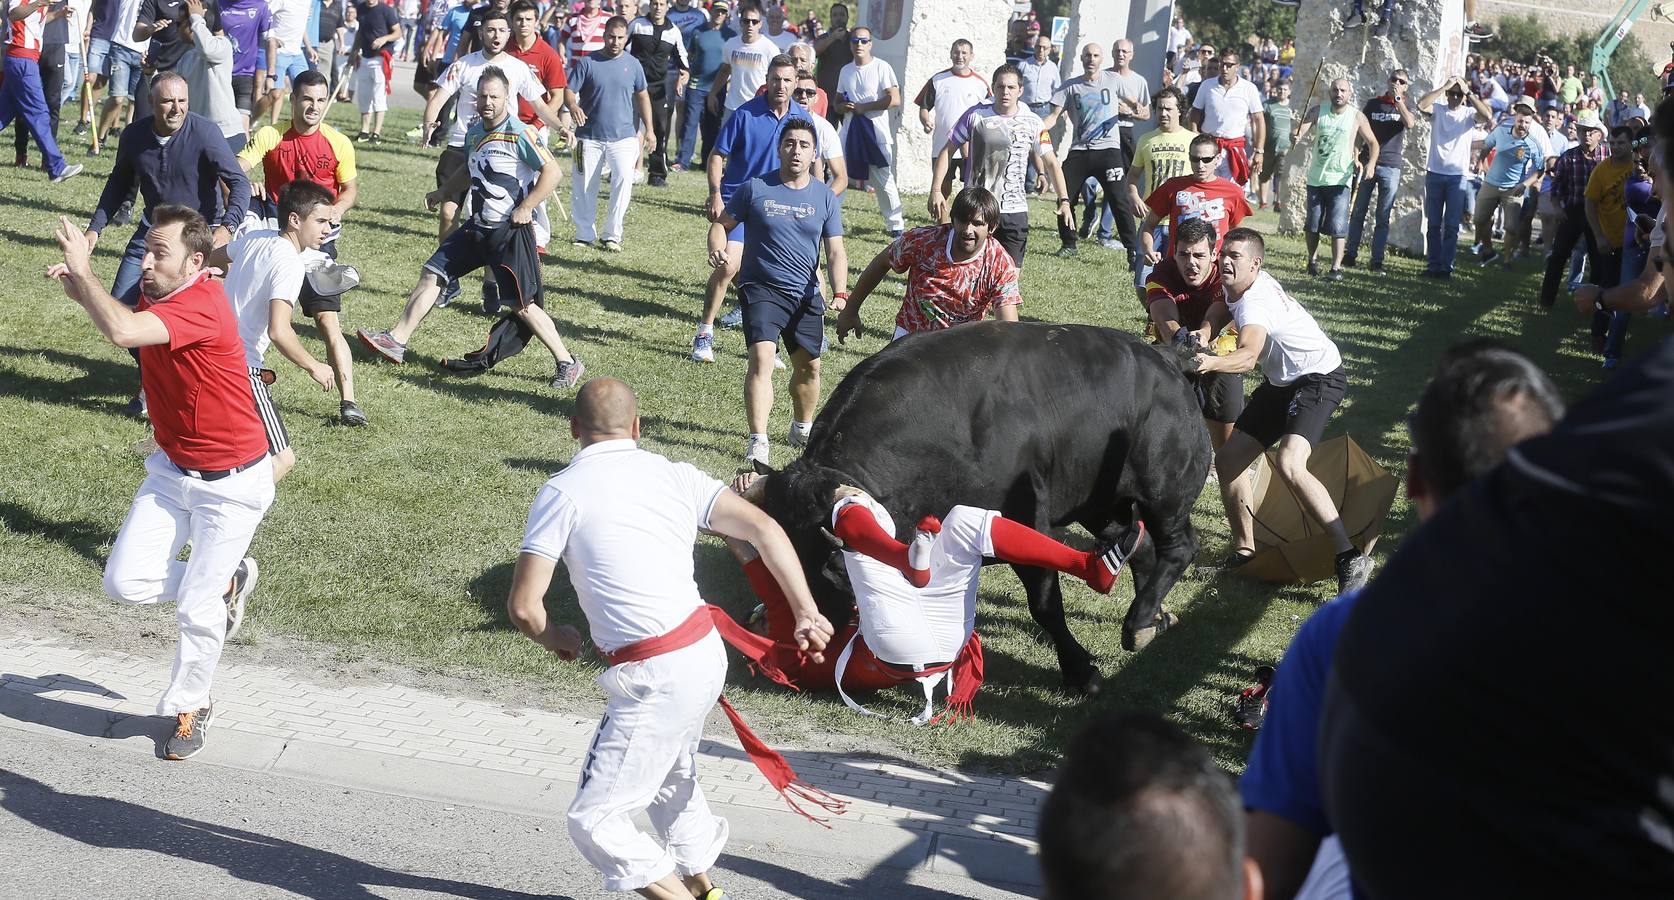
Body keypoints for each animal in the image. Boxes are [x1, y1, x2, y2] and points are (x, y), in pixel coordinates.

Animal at [763, 319, 1218, 689]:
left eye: (830, 573)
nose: (805, 651)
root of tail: (1165, 358)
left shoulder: (1024, 520)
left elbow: (1045, 604)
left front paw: (1080, 672)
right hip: (1101, 504)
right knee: (1140, 545)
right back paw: (1154, 617)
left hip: (1164, 493)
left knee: (1179, 546)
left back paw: (1138, 622)